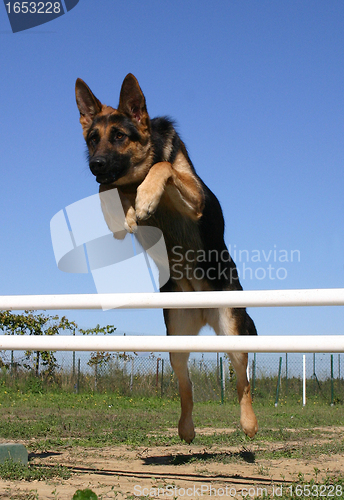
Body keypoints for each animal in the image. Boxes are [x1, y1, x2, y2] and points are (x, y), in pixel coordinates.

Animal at [76, 74, 258, 442]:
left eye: (119, 136)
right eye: (92, 139)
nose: (94, 165)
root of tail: (201, 310)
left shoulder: (196, 197)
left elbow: (163, 167)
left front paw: (145, 199)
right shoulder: (112, 187)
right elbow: (107, 191)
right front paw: (126, 213)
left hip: (232, 331)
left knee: (242, 383)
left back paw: (249, 424)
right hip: (176, 342)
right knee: (185, 388)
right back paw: (186, 429)